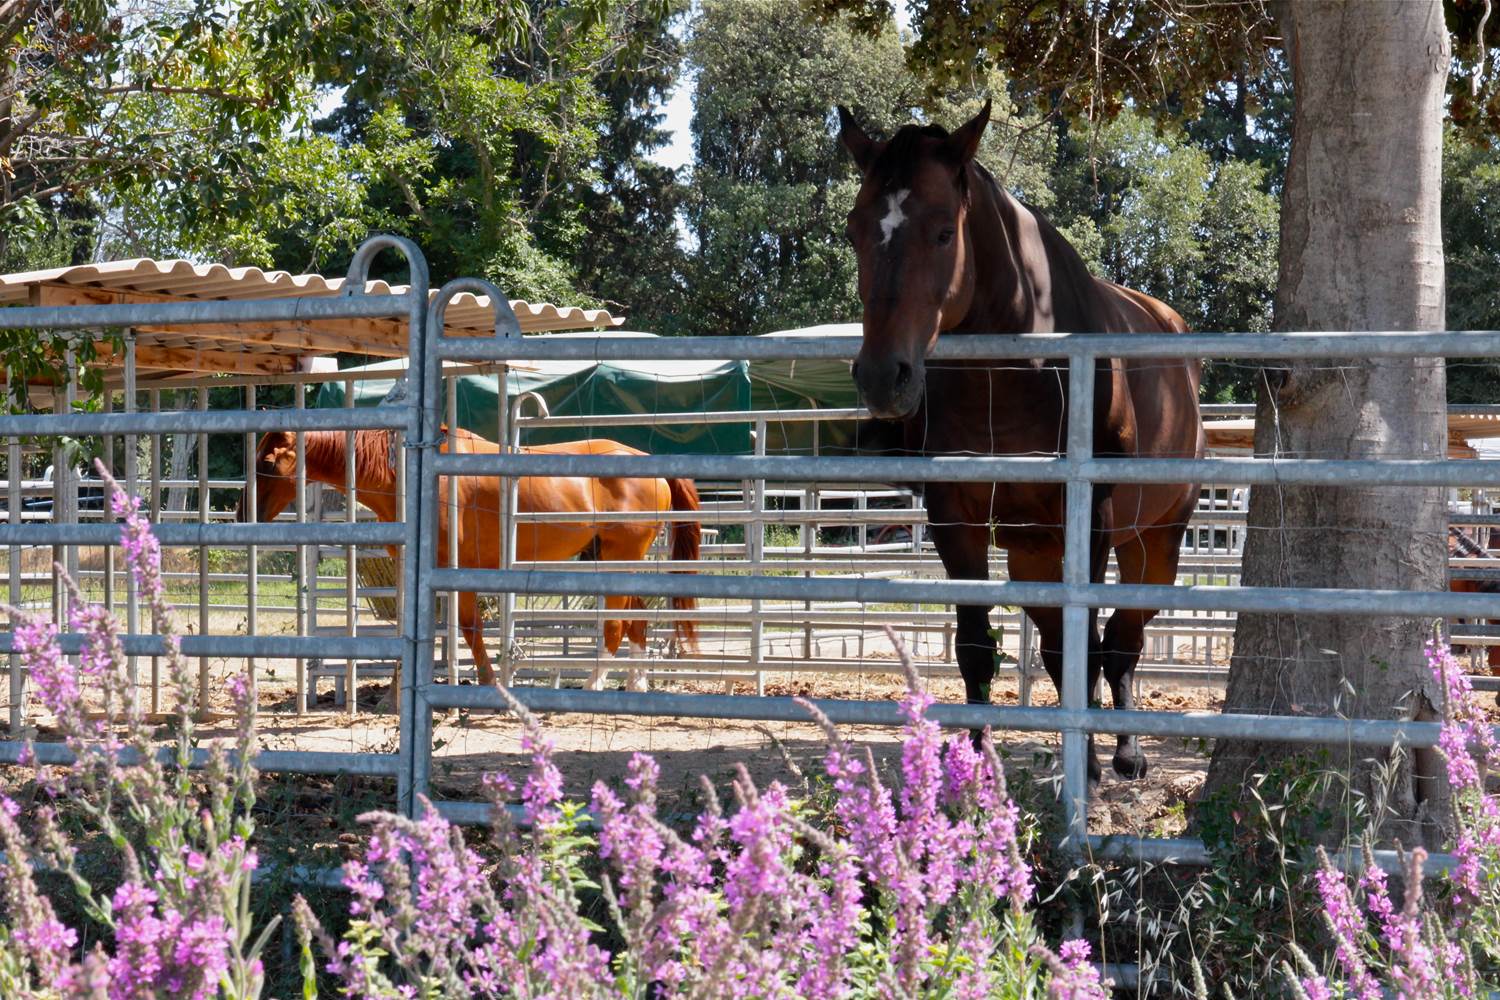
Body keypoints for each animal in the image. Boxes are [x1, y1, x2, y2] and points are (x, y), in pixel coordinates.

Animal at [238, 427, 701, 691]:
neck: (413, 474)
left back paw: (594, 685)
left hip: (619, 558)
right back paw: (637, 686)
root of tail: (648, 463)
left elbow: (468, 627)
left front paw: (486, 682)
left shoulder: (454, 569)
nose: (242, 516)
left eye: (268, 462)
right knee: (637, 620)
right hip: (612, 559)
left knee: (616, 624)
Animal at [837, 101, 1205, 782]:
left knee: (1123, 640)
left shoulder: (1091, 519)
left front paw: (1086, 765)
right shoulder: (954, 517)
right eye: (854, 230)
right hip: (1033, 552)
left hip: (1157, 542)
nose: (882, 377)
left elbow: (1087, 644)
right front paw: (972, 771)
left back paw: (1126, 751)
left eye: (944, 233)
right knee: (1073, 644)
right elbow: (979, 648)